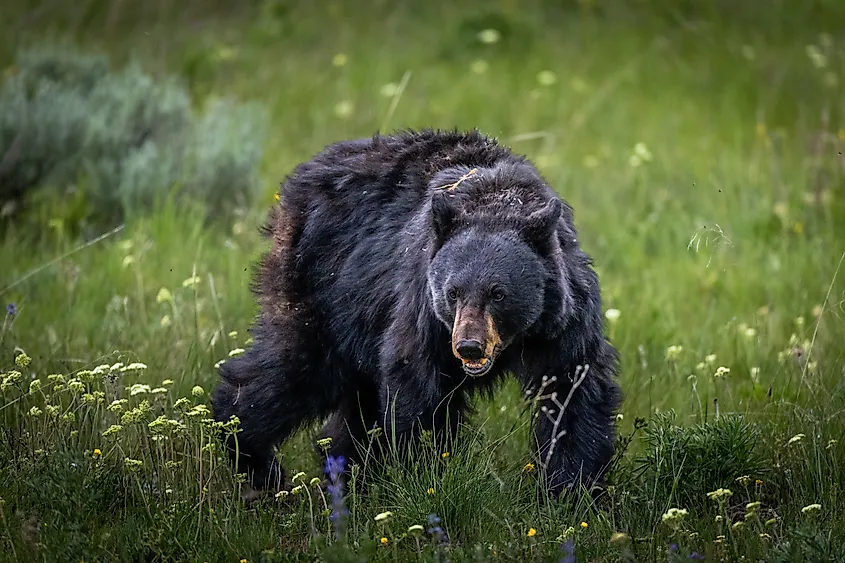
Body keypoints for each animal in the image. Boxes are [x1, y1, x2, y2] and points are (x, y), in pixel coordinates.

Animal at [211, 129, 622, 499]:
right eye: (453, 292)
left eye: (498, 293)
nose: (469, 347)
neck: (497, 201)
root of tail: (294, 184)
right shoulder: (423, 307)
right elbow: (417, 385)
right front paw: (426, 472)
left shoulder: (563, 320)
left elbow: (574, 390)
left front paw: (570, 490)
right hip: (323, 291)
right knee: (295, 369)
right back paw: (254, 460)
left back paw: (344, 474)